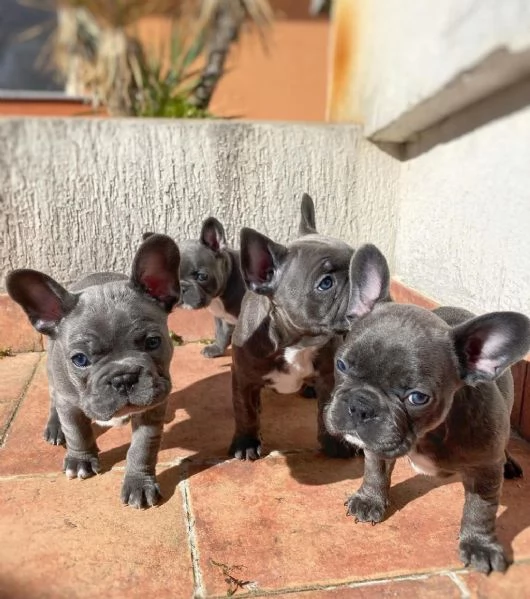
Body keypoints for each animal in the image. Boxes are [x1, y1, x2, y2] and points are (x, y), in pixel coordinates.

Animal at [6, 237, 179, 508]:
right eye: (80, 359)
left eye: (153, 342)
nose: (123, 378)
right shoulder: (69, 401)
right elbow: (77, 431)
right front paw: (80, 460)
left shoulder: (153, 406)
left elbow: (143, 446)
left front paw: (139, 483)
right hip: (53, 374)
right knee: (53, 399)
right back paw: (55, 428)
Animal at [229, 192, 356, 460]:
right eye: (325, 283)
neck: (298, 342)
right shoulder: (243, 378)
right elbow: (245, 411)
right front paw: (246, 442)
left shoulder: (329, 378)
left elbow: (326, 412)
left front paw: (335, 443)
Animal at [324, 243, 528, 572]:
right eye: (341, 364)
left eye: (417, 398)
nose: (360, 406)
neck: (430, 433)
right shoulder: (380, 443)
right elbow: (375, 469)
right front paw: (370, 500)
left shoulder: (485, 470)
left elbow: (480, 509)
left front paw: (479, 545)